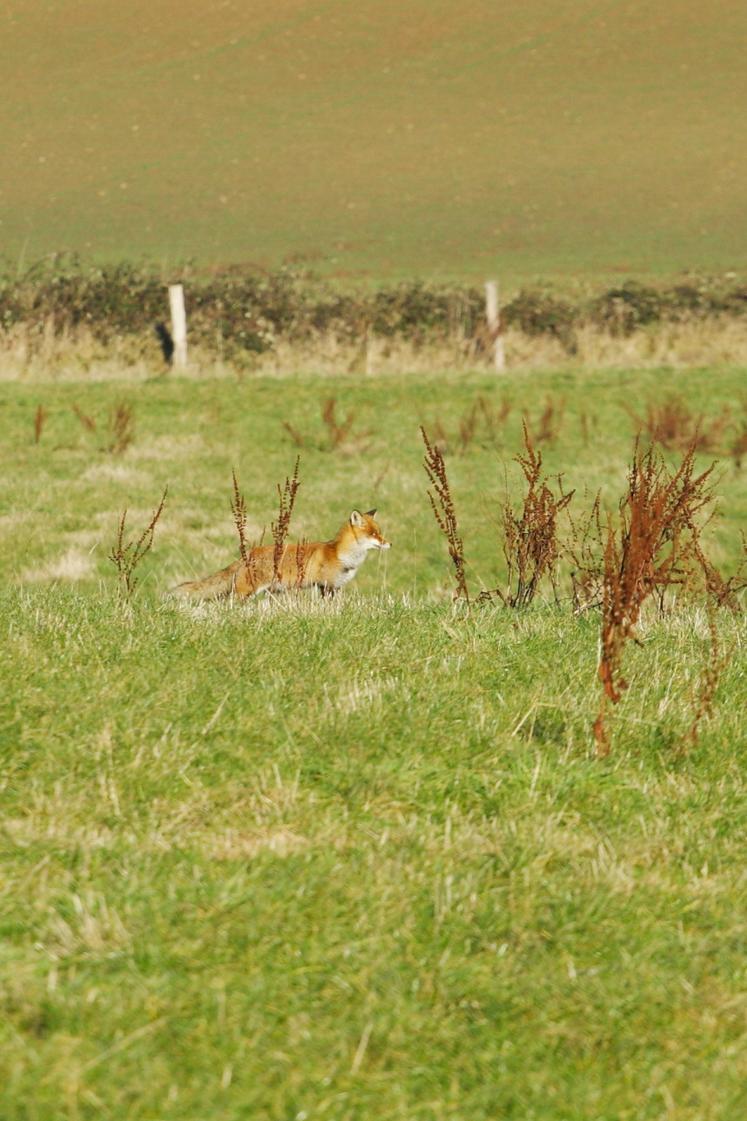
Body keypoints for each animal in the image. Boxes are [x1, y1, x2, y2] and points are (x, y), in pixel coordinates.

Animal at [172, 509, 391, 601]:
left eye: (379, 532)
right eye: (373, 534)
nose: (389, 543)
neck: (341, 554)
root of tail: (247, 555)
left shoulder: (333, 587)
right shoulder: (327, 585)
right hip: (246, 592)